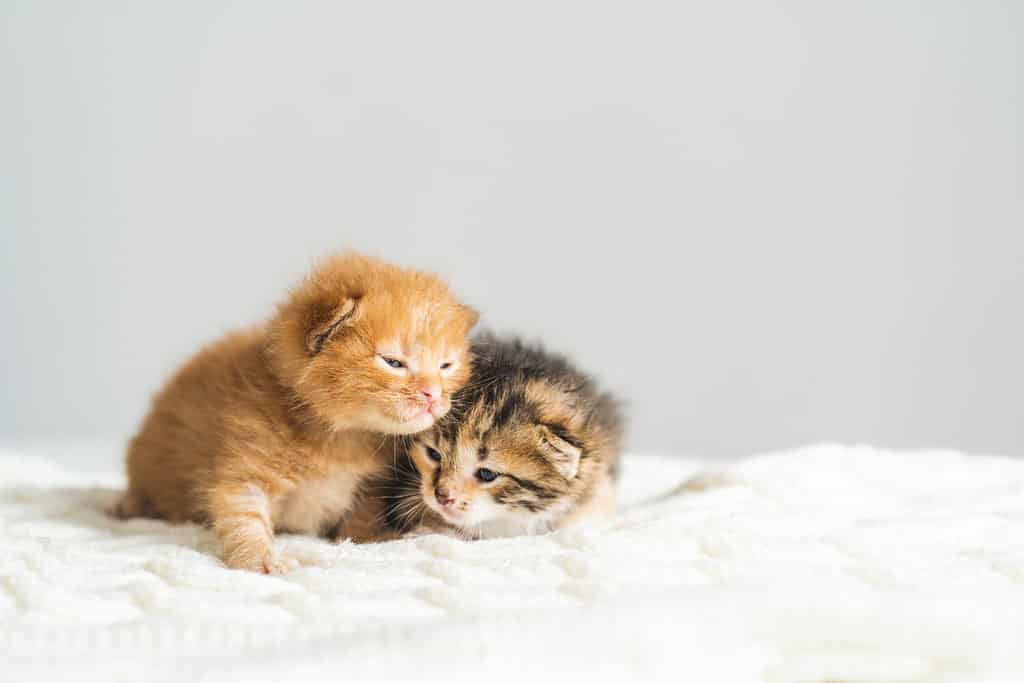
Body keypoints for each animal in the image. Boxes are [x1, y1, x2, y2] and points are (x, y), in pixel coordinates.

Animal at [110, 253, 477, 573]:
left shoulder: (370, 483)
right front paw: (258, 559)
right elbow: (243, 515)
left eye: (446, 366)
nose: (433, 395)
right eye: (393, 363)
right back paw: (128, 505)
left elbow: (364, 513)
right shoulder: (246, 464)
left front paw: (369, 539)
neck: (340, 436)